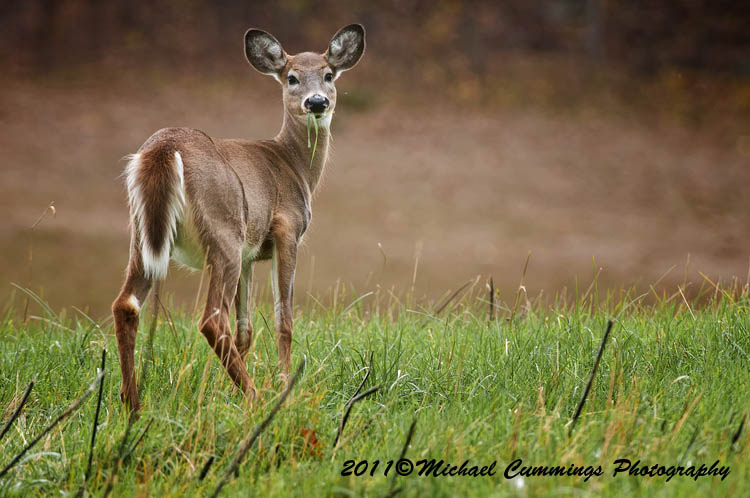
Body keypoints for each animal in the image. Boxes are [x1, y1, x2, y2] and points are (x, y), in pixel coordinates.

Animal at [111, 25, 365, 411]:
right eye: (291, 78)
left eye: (328, 75)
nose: (317, 102)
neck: (295, 166)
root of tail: (165, 148)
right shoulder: (286, 229)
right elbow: (283, 318)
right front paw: (283, 384)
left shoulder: (250, 254)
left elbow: (246, 328)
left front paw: (224, 391)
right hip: (223, 229)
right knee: (213, 320)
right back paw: (256, 397)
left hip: (145, 234)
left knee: (126, 304)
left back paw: (133, 403)